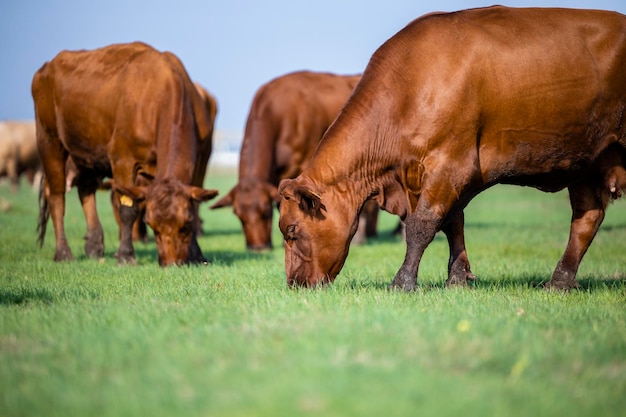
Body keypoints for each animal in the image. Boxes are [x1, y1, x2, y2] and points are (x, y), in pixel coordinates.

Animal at [34, 41, 219, 264]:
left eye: (185, 225)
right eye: (153, 226)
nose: (171, 264)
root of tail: (47, 67)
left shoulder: (202, 156)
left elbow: (195, 204)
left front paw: (197, 254)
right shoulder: (122, 158)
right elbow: (127, 209)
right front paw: (125, 255)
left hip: (85, 150)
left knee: (86, 189)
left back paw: (94, 246)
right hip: (49, 140)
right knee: (56, 196)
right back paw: (63, 252)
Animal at [278, 7, 624, 292]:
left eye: (291, 229)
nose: (294, 284)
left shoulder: (450, 164)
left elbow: (422, 224)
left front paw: (403, 282)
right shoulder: (445, 174)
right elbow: (453, 223)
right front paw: (458, 278)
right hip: (588, 161)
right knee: (586, 218)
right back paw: (559, 282)